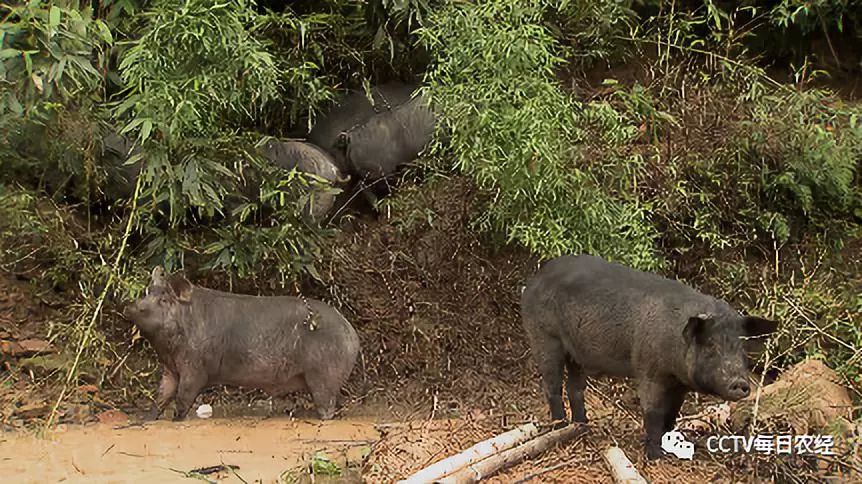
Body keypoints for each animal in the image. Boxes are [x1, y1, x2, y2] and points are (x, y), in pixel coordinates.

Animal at [125, 266, 362, 422]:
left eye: (164, 300)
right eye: (147, 292)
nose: (131, 305)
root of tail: (352, 333)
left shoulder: (196, 367)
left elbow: (183, 396)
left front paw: (176, 419)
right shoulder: (170, 368)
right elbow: (161, 394)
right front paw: (145, 419)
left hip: (323, 375)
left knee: (327, 405)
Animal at [520, 255, 784, 460]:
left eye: (741, 347)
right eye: (710, 345)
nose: (740, 383)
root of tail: (534, 278)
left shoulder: (679, 384)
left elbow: (673, 412)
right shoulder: (649, 368)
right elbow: (653, 411)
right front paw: (656, 456)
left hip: (576, 352)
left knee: (575, 388)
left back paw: (583, 426)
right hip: (544, 336)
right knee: (551, 384)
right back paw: (560, 426)